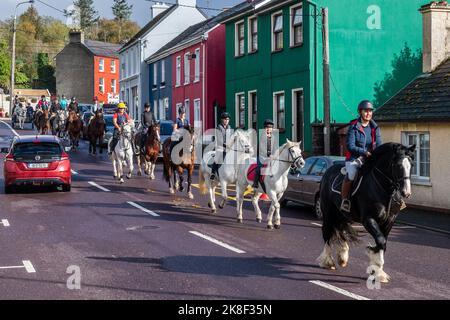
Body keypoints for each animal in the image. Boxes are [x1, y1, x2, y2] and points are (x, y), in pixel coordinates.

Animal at [316, 142, 414, 282]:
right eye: (398, 165)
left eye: (411, 165)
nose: (406, 192)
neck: (383, 189)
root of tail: (327, 172)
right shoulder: (369, 219)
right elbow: (381, 240)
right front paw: (376, 266)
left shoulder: (389, 221)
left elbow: (382, 242)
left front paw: (377, 270)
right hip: (329, 212)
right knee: (327, 232)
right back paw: (328, 261)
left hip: (343, 214)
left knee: (340, 229)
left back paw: (343, 256)